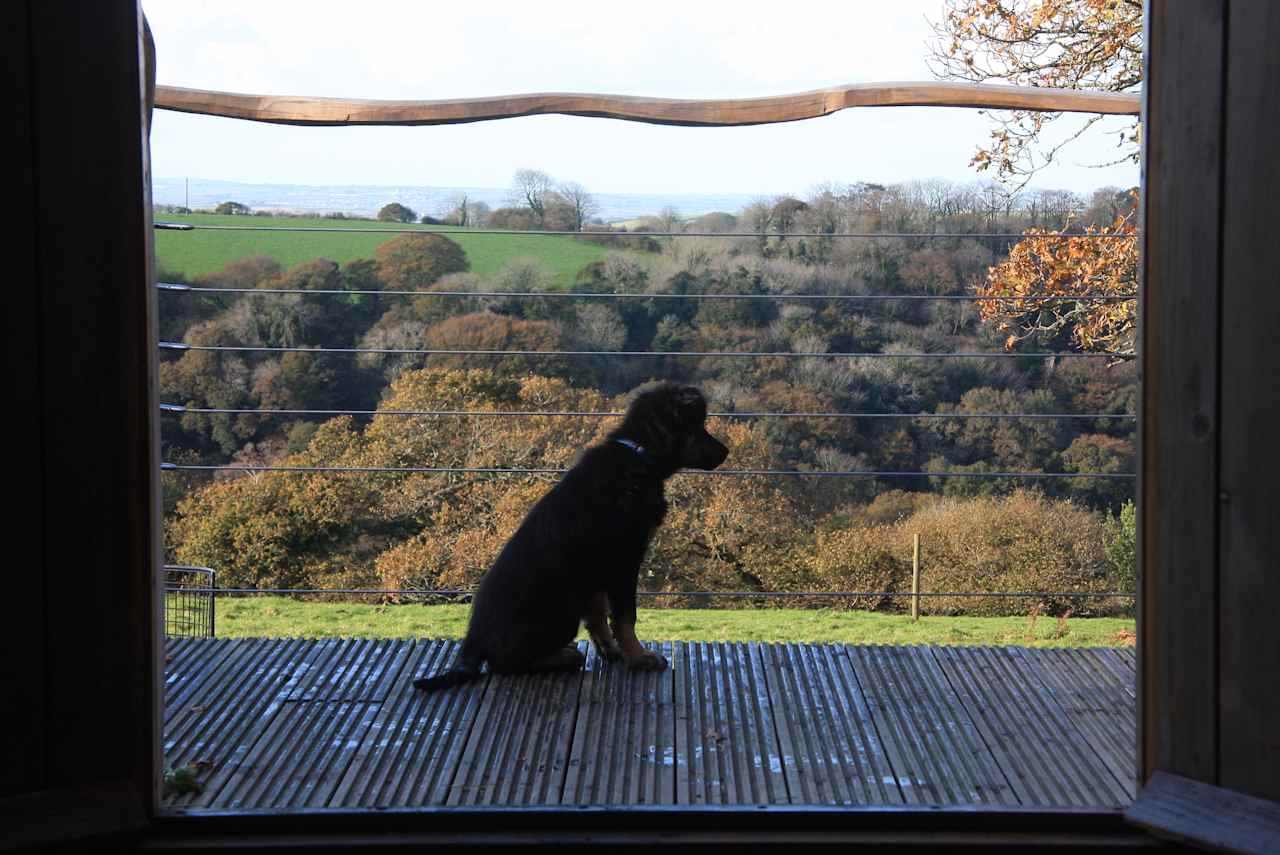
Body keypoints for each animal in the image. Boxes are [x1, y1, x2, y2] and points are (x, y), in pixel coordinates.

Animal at [414, 381, 727, 686]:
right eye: (699, 427)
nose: (726, 452)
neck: (637, 454)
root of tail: (473, 641)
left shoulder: (597, 568)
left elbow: (598, 616)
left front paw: (611, 651)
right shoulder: (624, 560)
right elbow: (626, 617)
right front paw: (639, 657)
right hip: (561, 611)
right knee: (504, 663)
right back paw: (564, 656)